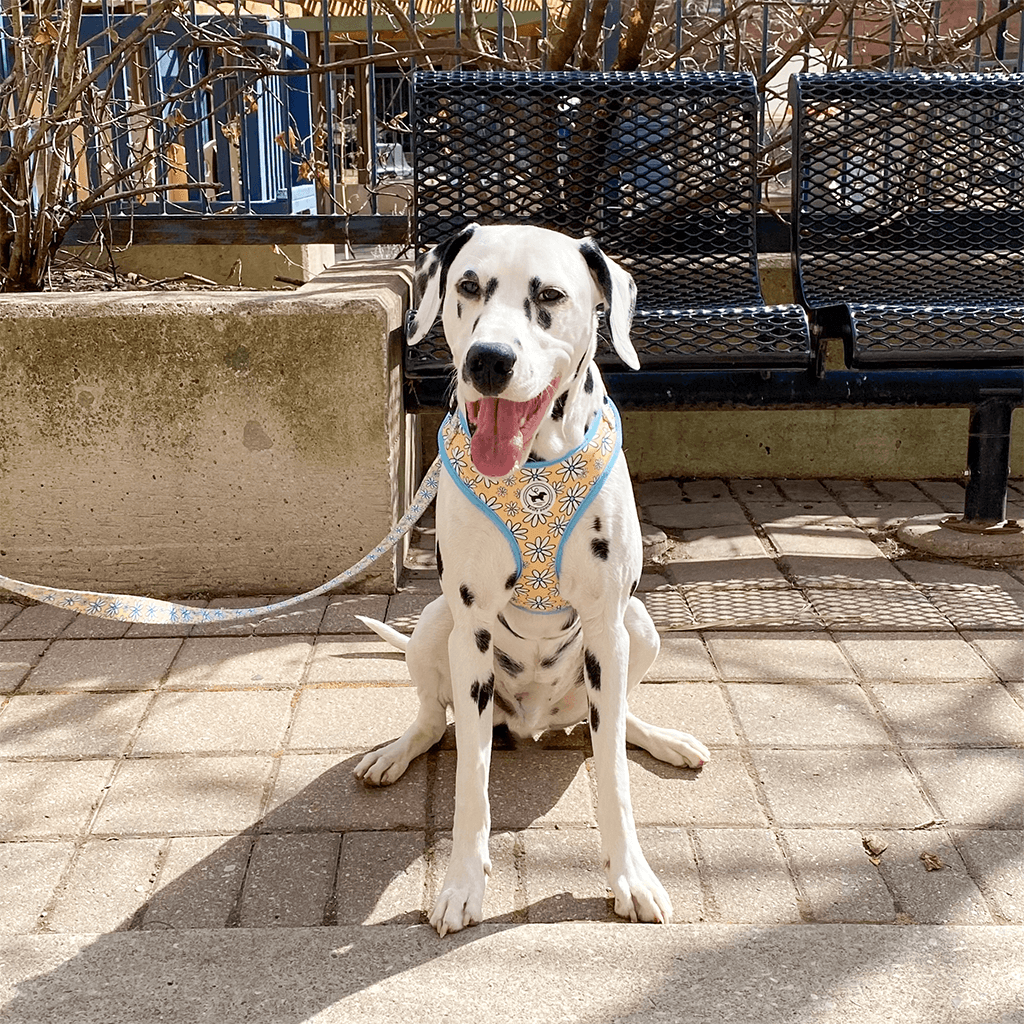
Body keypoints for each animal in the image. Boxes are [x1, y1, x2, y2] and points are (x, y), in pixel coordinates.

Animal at [356, 222, 708, 937]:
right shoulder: (472, 633)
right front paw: (463, 883)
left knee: (613, 722)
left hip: (638, 629)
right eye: (467, 286)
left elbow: (613, 775)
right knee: (435, 720)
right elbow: (470, 781)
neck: (535, 473)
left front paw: (631, 876)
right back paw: (397, 750)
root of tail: (536, 722)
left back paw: (659, 737)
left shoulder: (606, 628)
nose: (487, 361)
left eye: (549, 295)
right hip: (434, 626)